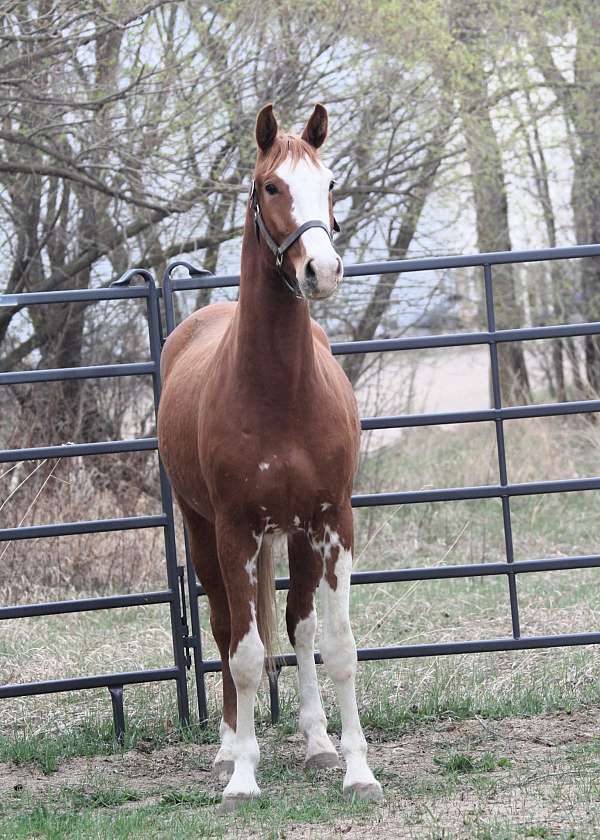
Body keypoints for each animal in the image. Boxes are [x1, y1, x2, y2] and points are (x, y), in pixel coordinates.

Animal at [157, 103, 382, 810]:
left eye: (330, 182)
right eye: (271, 186)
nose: (323, 270)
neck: (280, 391)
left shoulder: (333, 523)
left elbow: (336, 645)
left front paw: (356, 769)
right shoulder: (235, 529)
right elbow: (246, 653)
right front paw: (243, 778)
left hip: (298, 537)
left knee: (297, 625)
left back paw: (315, 743)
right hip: (204, 532)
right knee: (228, 628)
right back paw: (230, 747)